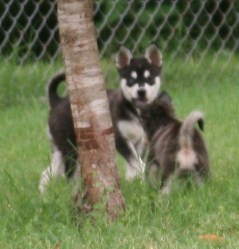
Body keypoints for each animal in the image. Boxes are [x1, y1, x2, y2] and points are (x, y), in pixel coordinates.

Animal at [38, 44, 162, 193]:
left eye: (149, 79)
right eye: (131, 81)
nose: (141, 91)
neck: (136, 112)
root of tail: (57, 101)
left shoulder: (140, 143)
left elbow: (133, 166)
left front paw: (136, 184)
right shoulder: (120, 139)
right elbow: (139, 164)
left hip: (60, 150)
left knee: (47, 172)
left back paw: (43, 194)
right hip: (70, 149)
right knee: (68, 174)